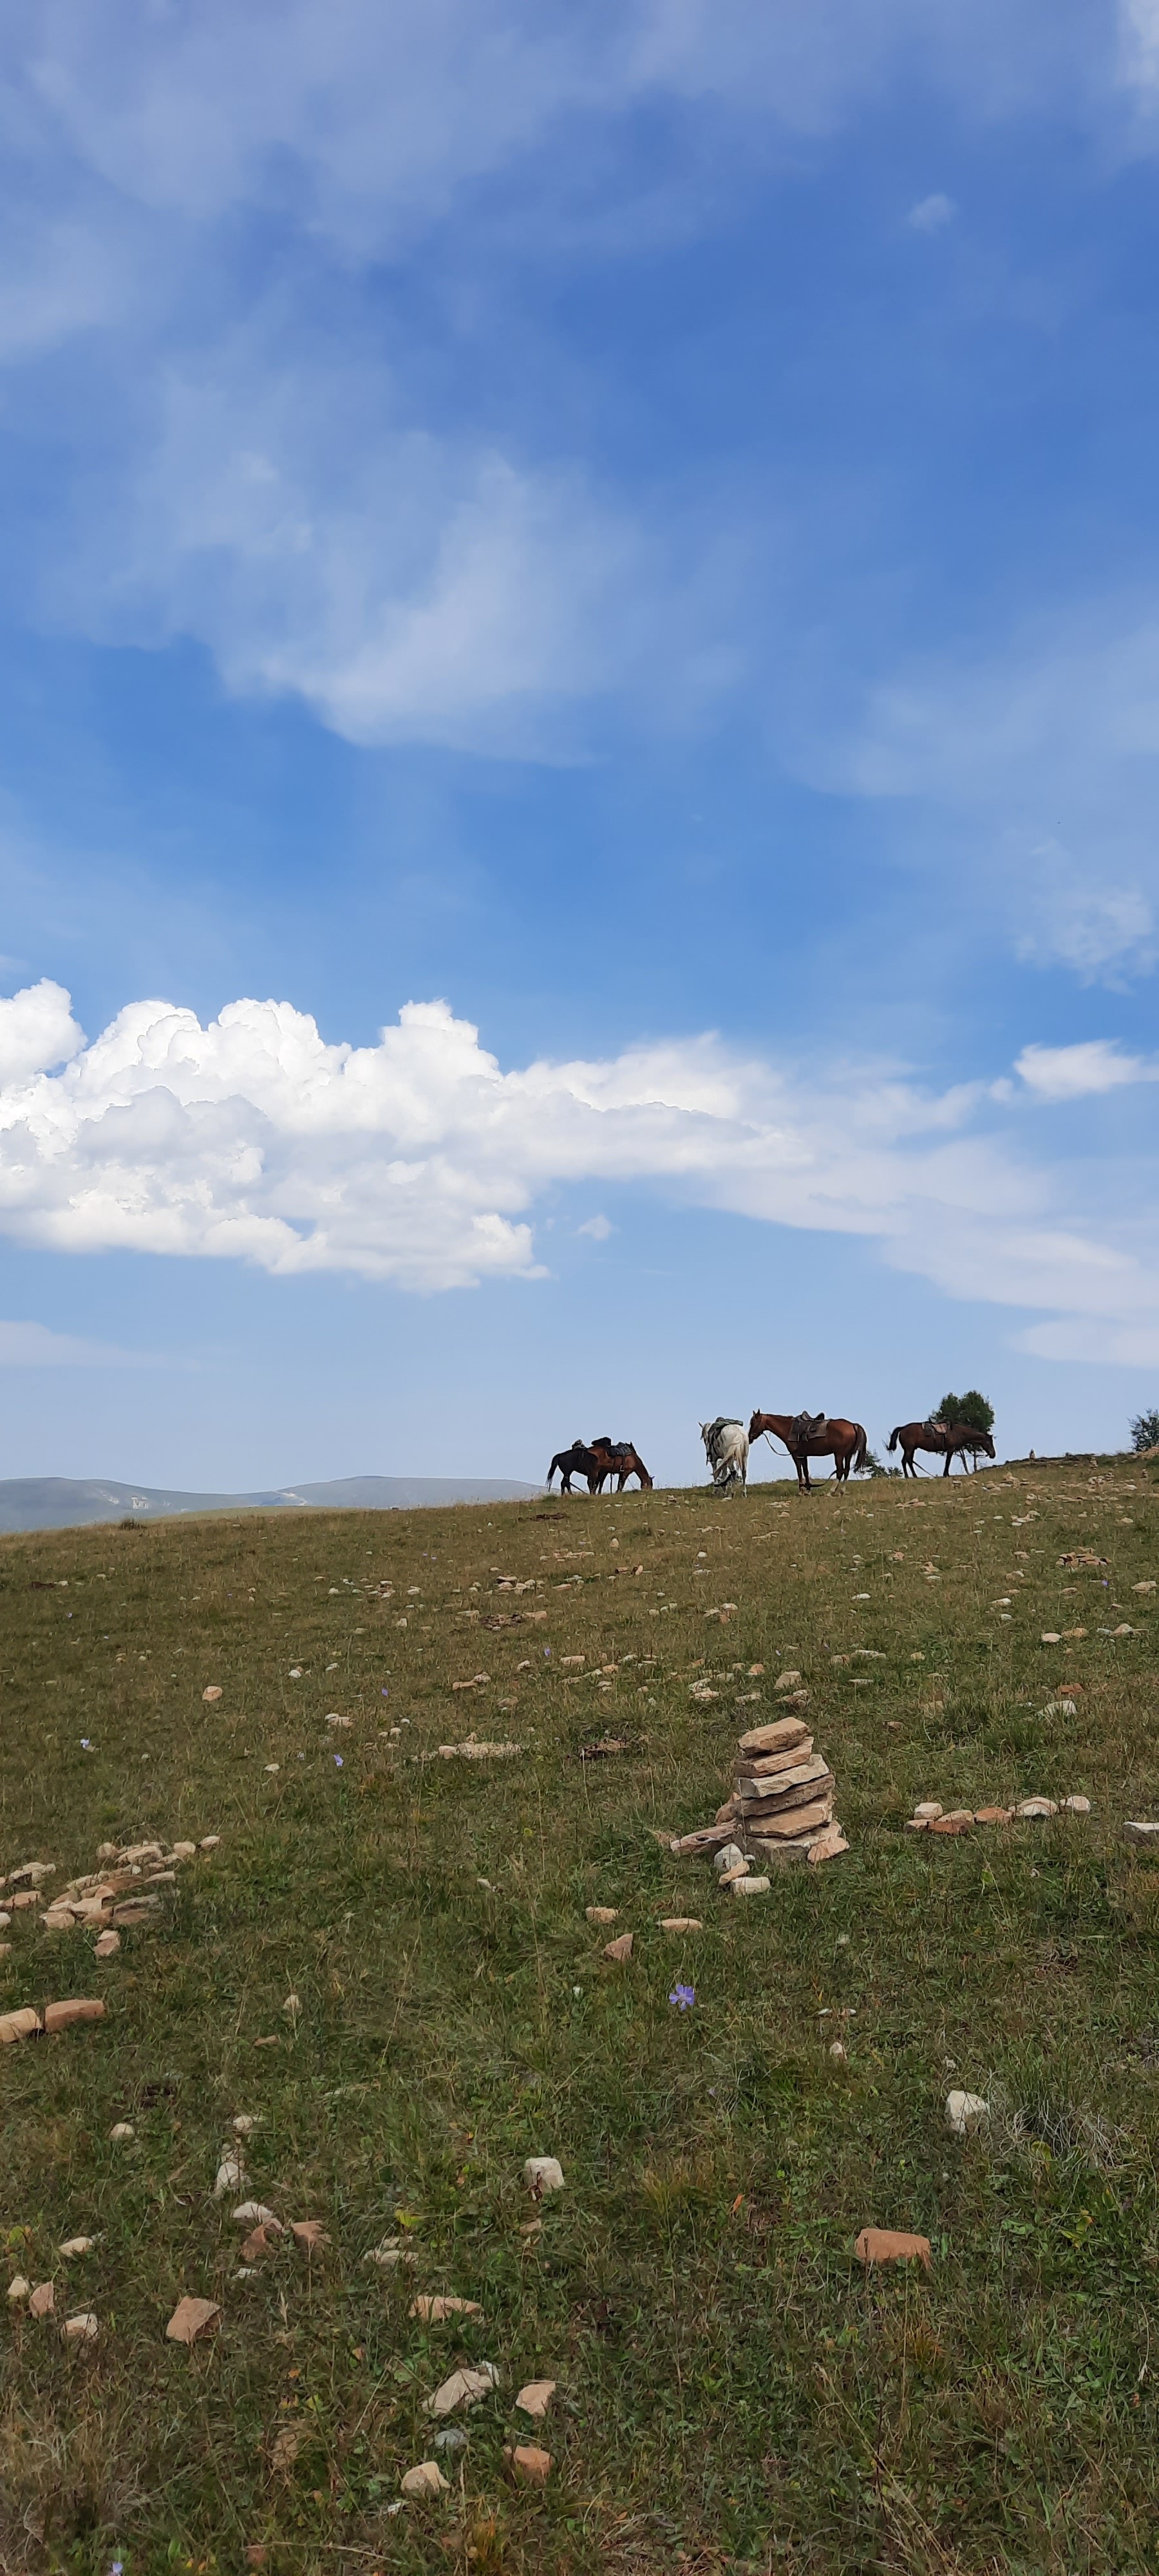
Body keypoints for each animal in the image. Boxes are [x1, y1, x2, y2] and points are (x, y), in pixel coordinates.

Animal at [747, 1412, 865, 1494]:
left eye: (754, 1423)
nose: (750, 1438)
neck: (789, 1429)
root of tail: (853, 1425)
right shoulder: (804, 1456)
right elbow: (806, 1471)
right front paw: (808, 1490)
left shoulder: (796, 1456)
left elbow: (800, 1472)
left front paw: (801, 1491)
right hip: (848, 1455)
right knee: (846, 1471)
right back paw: (842, 1491)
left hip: (839, 1455)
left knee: (840, 1472)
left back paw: (831, 1492)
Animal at [886, 1422, 994, 1484]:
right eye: (989, 1442)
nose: (993, 1454)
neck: (957, 1432)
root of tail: (903, 1429)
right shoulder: (950, 1449)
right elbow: (948, 1462)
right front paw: (946, 1474)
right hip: (909, 1449)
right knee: (905, 1461)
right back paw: (909, 1476)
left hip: (911, 1449)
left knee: (908, 1461)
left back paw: (913, 1476)